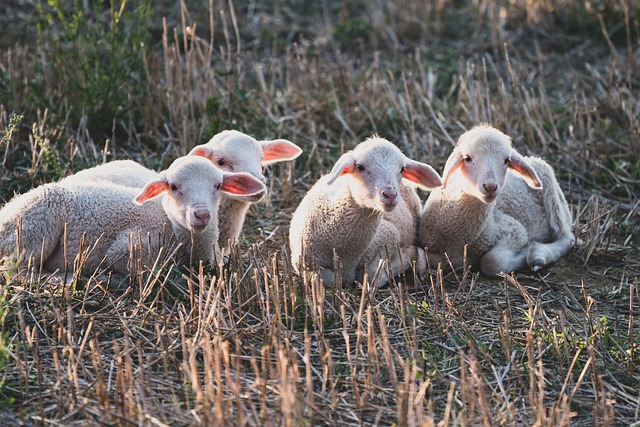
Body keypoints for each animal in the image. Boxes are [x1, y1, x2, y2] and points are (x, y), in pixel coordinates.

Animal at [0, 156, 266, 280]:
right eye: (173, 187)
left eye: (218, 185)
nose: (201, 214)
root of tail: (6, 211)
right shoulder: (129, 248)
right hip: (31, 231)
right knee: (17, 272)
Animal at [289, 136, 442, 286]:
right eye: (360, 167)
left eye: (402, 169)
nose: (390, 194)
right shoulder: (306, 266)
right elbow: (329, 280)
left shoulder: (388, 236)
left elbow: (370, 276)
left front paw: (407, 254)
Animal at [418, 125, 575, 276]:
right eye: (467, 158)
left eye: (506, 160)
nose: (490, 187)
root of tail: (530, 158)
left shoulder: (515, 230)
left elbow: (492, 261)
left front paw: (528, 249)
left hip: (551, 192)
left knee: (566, 237)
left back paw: (539, 255)